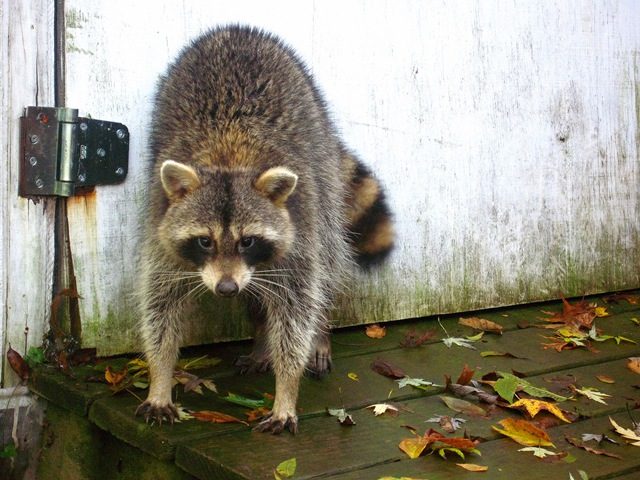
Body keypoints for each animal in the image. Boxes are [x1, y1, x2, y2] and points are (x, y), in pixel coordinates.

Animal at [135, 25, 394, 434]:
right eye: (204, 241)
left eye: (249, 241)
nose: (226, 289)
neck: (227, 158)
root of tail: (235, 28)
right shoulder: (161, 229)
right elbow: (160, 303)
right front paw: (160, 378)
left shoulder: (299, 227)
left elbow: (296, 307)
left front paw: (286, 388)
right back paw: (259, 338)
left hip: (320, 166)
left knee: (328, 258)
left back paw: (318, 331)